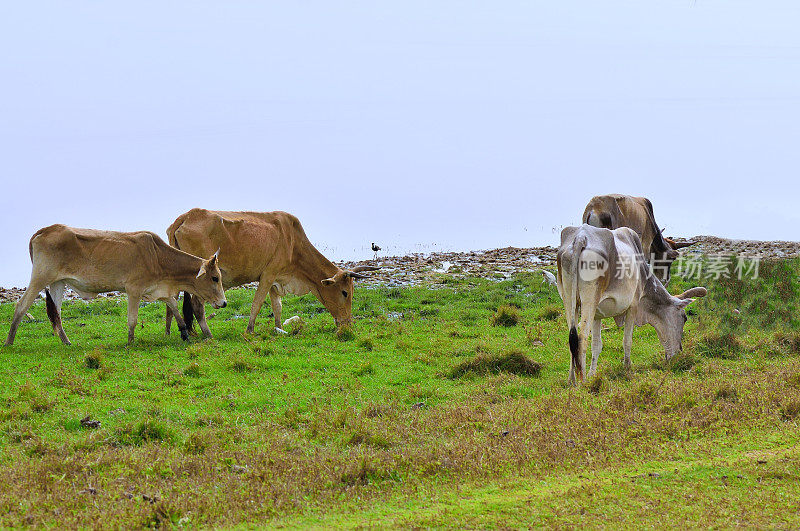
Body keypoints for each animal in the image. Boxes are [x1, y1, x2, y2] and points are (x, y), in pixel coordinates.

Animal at [4, 225, 227, 348]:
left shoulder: (158, 289)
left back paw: (66, 342)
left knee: (55, 313)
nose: (224, 303)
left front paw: (184, 333)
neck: (157, 256)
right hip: (40, 278)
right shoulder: (134, 290)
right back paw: (9, 342)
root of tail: (45, 230)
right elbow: (133, 320)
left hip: (57, 283)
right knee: (21, 305)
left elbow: (173, 306)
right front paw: (130, 342)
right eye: (215, 278)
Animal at [164, 209, 380, 336]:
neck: (293, 242)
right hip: (202, 281)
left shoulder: (276, 279)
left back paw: (174, 333)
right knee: (197, 306)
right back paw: (207, 334)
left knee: (172, 304)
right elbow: (258, 303)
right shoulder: (268, 275)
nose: (347, 324)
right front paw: (250, 330)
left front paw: (280, 328)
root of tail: (184, 218)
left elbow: (277, 306)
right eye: (345, 292)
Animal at [556, 225, 708, 386]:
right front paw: (627, 368)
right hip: (589, 300)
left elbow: (596, 345)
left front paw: (593, 374)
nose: (678, 353)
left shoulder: (597, 315)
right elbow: (627, 341)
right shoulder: (633, 306)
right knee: (581, 337)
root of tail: (580, 238)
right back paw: (582, 380)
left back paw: (572, 380)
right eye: (684, 318)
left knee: (572, 338)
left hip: (570, 301)